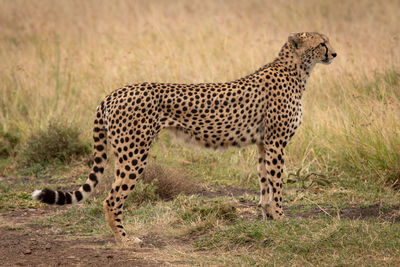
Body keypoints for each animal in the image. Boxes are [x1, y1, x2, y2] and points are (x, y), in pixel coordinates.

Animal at [32, 32, 336, 246]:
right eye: (321, 43)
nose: (334, 53)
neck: (296, 69)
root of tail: (114, 92)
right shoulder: (276, 143)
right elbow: (278, 183)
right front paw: (283, 219)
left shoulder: (264, 143)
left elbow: (264, 184)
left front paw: (269, 218)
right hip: (134, 155)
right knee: (111, 198)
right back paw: (124, 240)